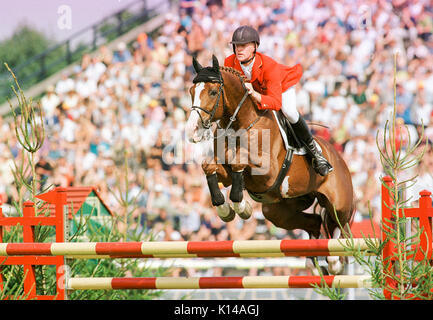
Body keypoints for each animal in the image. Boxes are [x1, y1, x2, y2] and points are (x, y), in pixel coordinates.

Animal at [186, 55, 354, 276]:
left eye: (213, 92)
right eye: (191, 92)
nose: (193, 130)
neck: (242, 123)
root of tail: (339, 158)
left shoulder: (269, 171)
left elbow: (238, 159)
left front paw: (241, 206)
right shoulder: (227, 172)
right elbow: (210, 166)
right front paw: (225, 209)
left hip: (339, 203)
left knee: (337, 225)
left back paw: (334, 261)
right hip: (278, 211)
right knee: (315, 222)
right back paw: (313, 262)